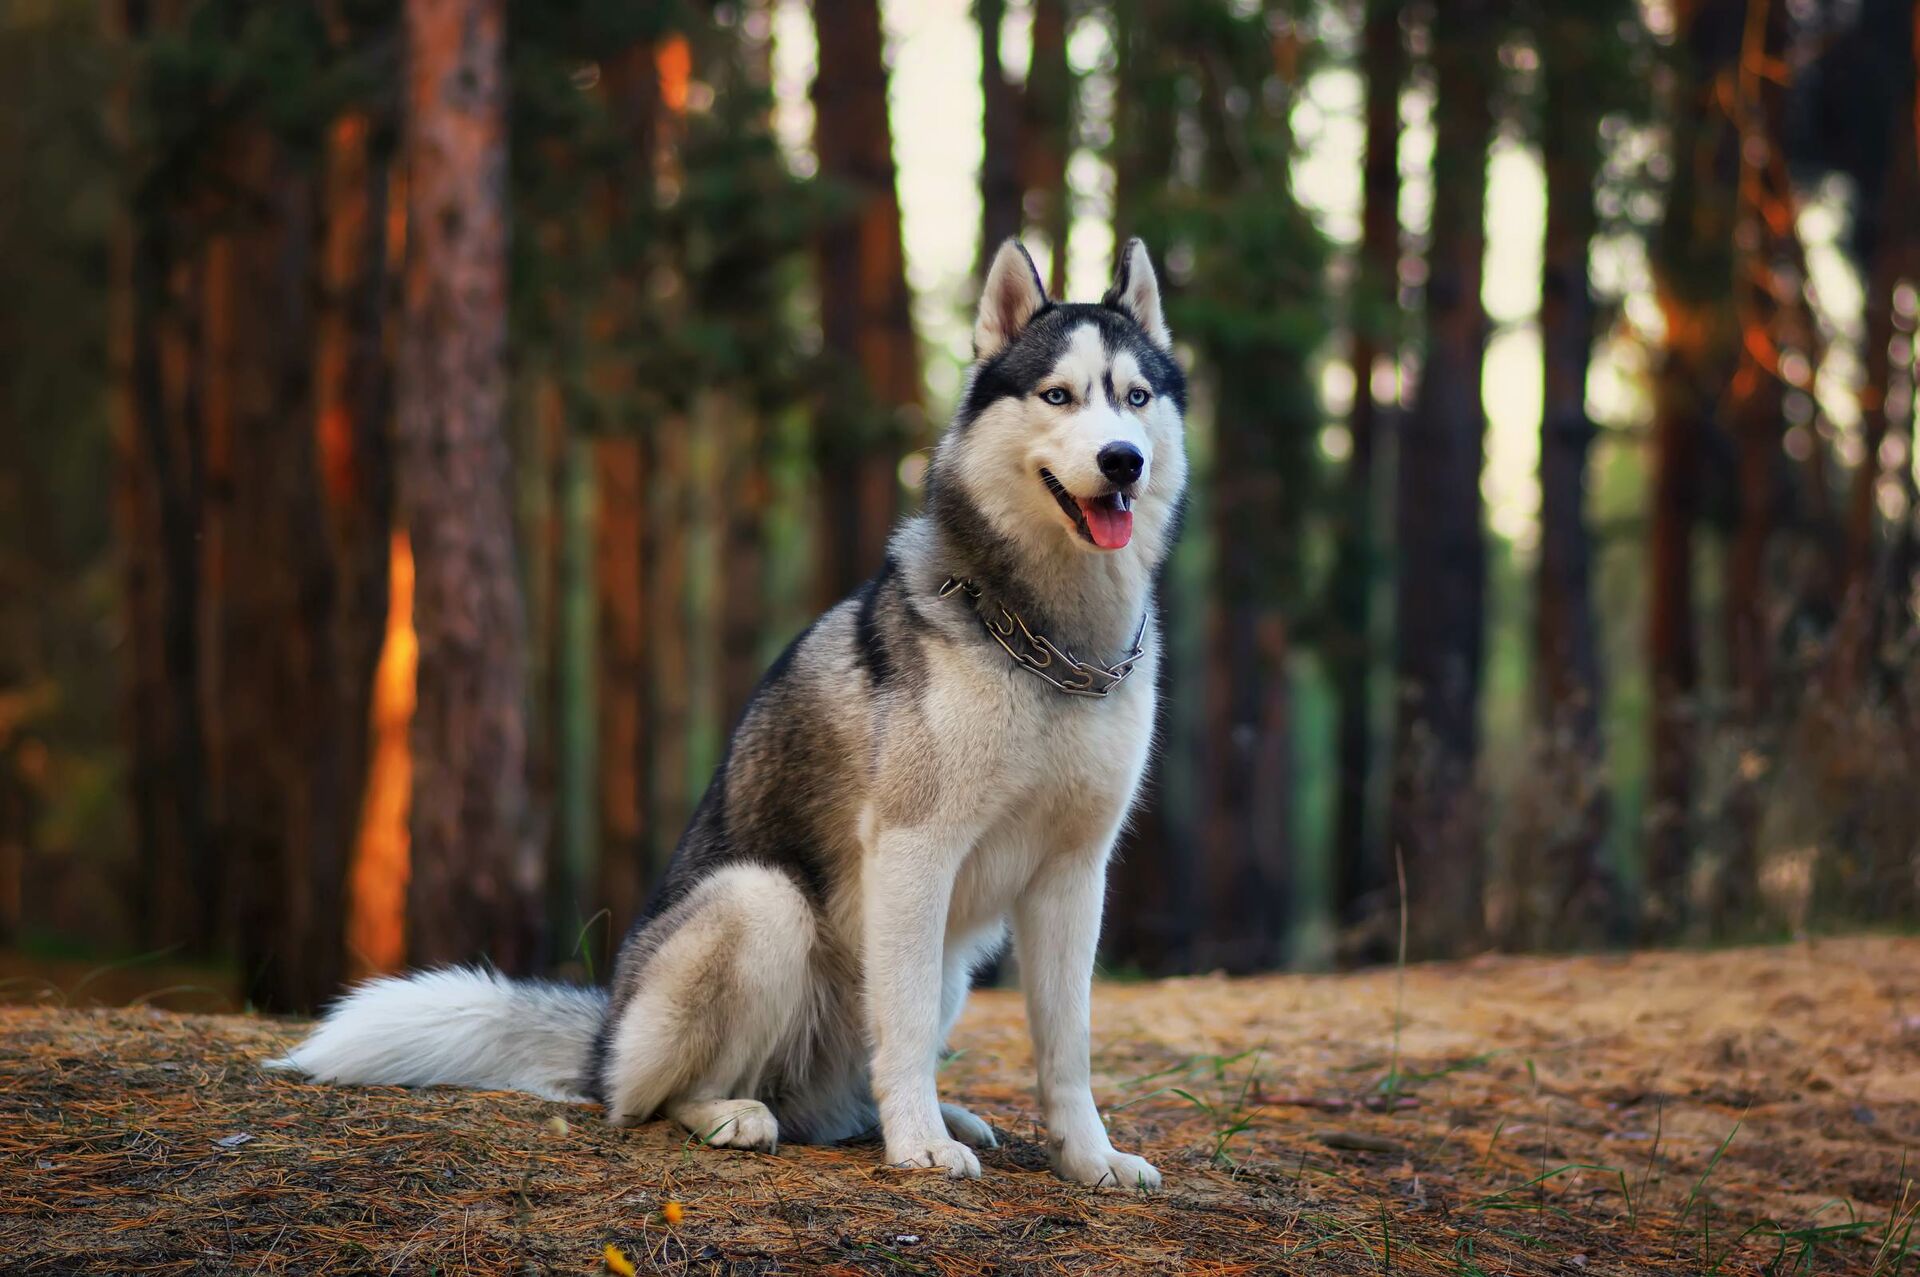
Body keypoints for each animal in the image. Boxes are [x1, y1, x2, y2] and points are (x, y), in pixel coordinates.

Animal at [274, 236, 1182, 1182]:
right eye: (1058, 395)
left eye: (1136, 397)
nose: (1123, 460)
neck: (1050, 644)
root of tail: (601, 1036)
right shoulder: (913, 850)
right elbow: (899, 1029)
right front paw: (921, 1145)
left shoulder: (1075, 872)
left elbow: (1068, 1045)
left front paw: (1090, 1157)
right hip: (759, 904)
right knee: (651, 1098)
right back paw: (739, 1113)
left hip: (947, 968)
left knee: (844, 1090)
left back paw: (925, 1115)